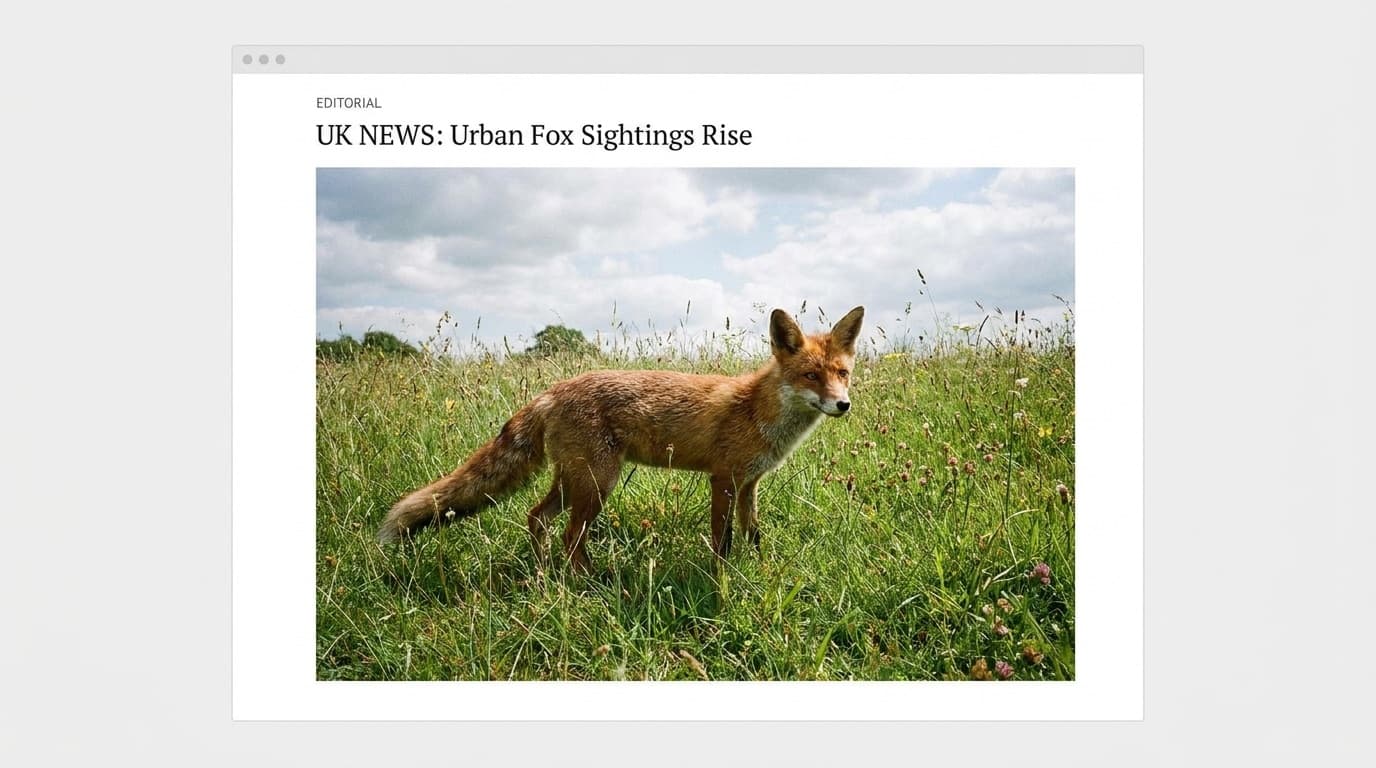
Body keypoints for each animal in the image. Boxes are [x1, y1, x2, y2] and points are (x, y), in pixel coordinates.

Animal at [377, 305, 865, 573]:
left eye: (842, 373)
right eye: (811, 375)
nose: (843, 405)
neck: (757, 411)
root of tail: (553, 390)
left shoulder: (749, 485)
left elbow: (753, 534)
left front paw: (758, 568)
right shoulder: (723, 479)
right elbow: (722, 541)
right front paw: (722, 580)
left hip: (573, 481)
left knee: (537, 518)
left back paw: (543, 573)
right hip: (597, 483)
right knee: (571, 536)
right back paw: (587, 582)